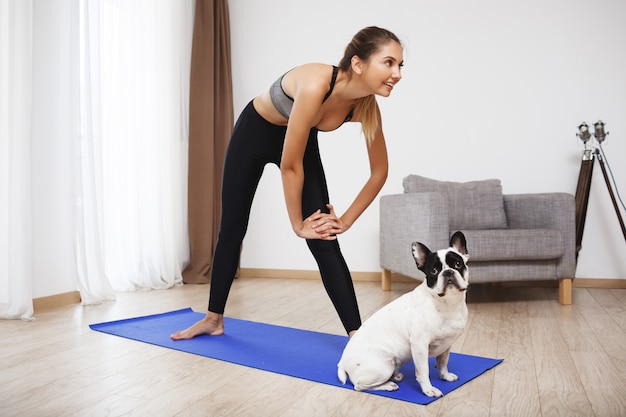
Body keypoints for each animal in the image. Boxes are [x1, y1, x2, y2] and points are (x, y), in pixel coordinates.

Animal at [336, 231, 468, 396]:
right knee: (359, 386)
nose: (448, 272)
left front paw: (445, 376)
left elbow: (443, 362)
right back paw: (388, 385)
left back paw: (396, 376)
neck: (446, 303)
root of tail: (342, 362)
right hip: (382, 367)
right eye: (434, 271)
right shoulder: (419, 345)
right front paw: (428, 390)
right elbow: (423, 371)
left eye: (458, 264)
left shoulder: (446, 344)